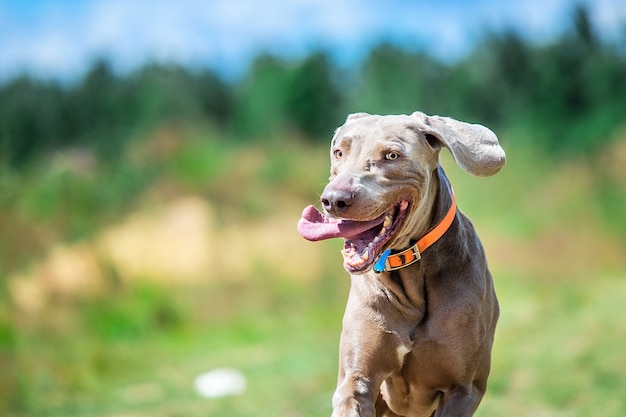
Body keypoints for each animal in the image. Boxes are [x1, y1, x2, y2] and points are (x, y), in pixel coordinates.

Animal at [294, 111, 504, 416]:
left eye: (392, 155)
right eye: (339, 152)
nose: (333, 199)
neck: (411, 271)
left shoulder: (464, 389)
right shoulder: (357, 379)